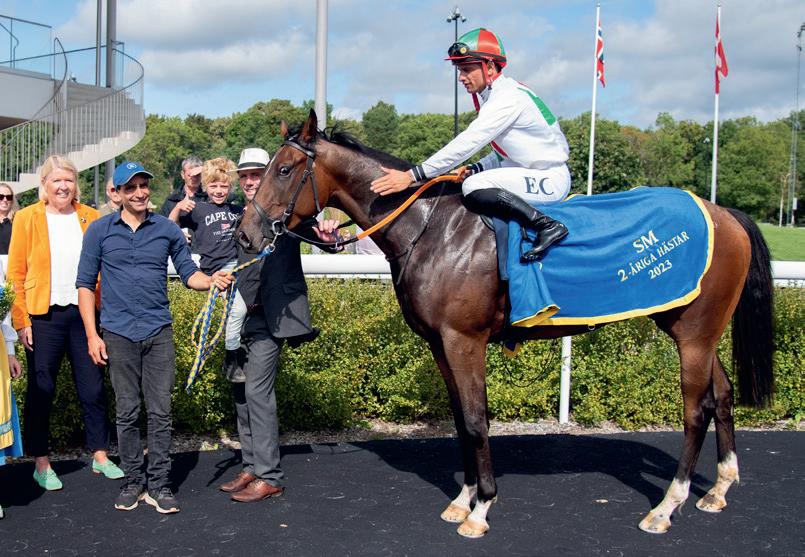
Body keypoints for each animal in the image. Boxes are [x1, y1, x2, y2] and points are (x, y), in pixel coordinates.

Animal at [236, 110, 774, 538]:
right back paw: (717, 489)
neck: (431, 229)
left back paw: (667, 506)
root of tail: (723, 212)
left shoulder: (464, 340)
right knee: (722, 396)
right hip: (696, 330)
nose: (246, 235)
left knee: (696, 411)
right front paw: (463, 500)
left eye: (284, 169)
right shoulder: (439, 343)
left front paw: (482, 509)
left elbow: (477, 418)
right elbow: (460, 419)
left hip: (693, 333)